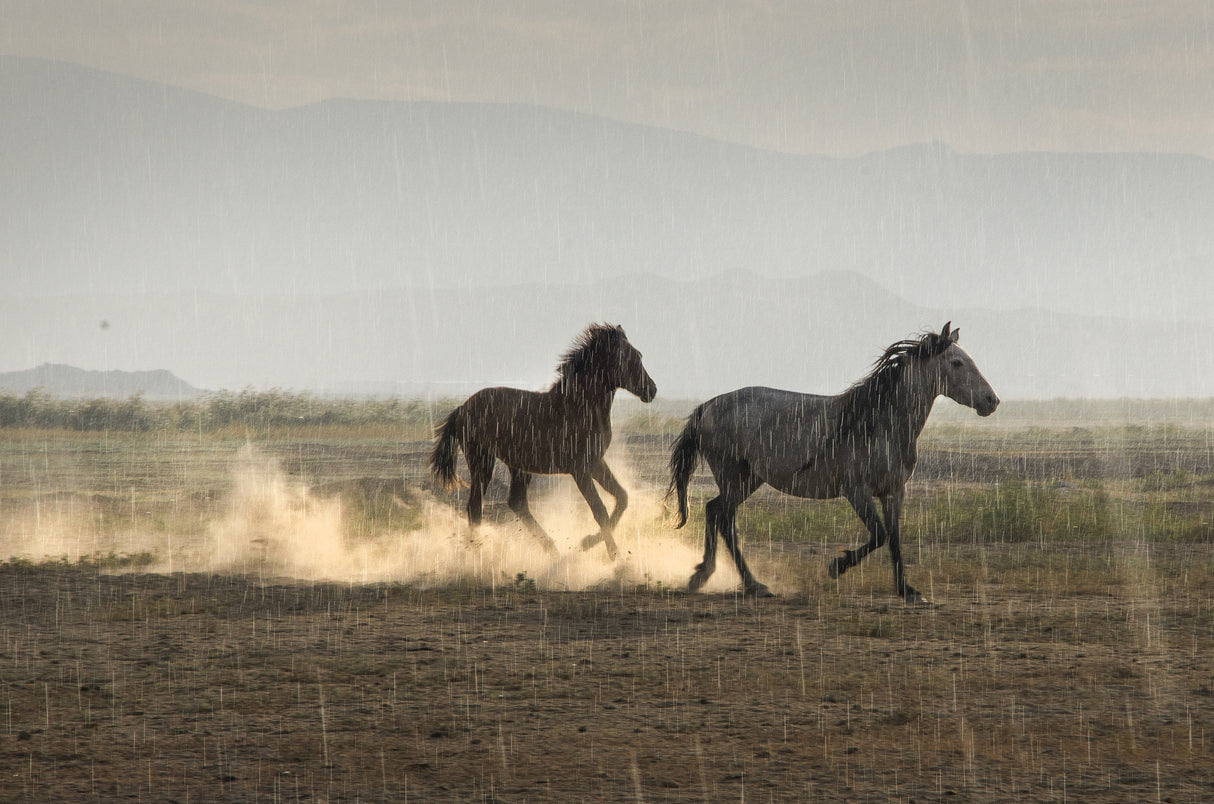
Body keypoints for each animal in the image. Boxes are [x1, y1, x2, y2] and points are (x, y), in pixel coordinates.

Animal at [430, 323, 657, 559]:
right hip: (482, 461)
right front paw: (614, 556)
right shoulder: (580, 469)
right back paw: (477, 554)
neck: (579, 406)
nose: (651, 390)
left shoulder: (595, 462)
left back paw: (552, 549)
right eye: (626, 358)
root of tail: (460, 409)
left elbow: (622, 497)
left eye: (638, 355)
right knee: (475, 508)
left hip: (519, 467)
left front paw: (587, 542)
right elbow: (599, 510)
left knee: (517, 503)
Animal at [667, 323, 998, 601]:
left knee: (714, 511)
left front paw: (908, 591)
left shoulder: (894, 492)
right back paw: (753, 585)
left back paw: (703, 576)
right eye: (957, 363)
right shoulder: (857, 491)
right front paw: (837, 566)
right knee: (724, 519)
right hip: (734, 477)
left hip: (749, 480)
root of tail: (709, 405)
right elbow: (879, 535)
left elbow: (894, 539)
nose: (991, 401)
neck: (881, 424)